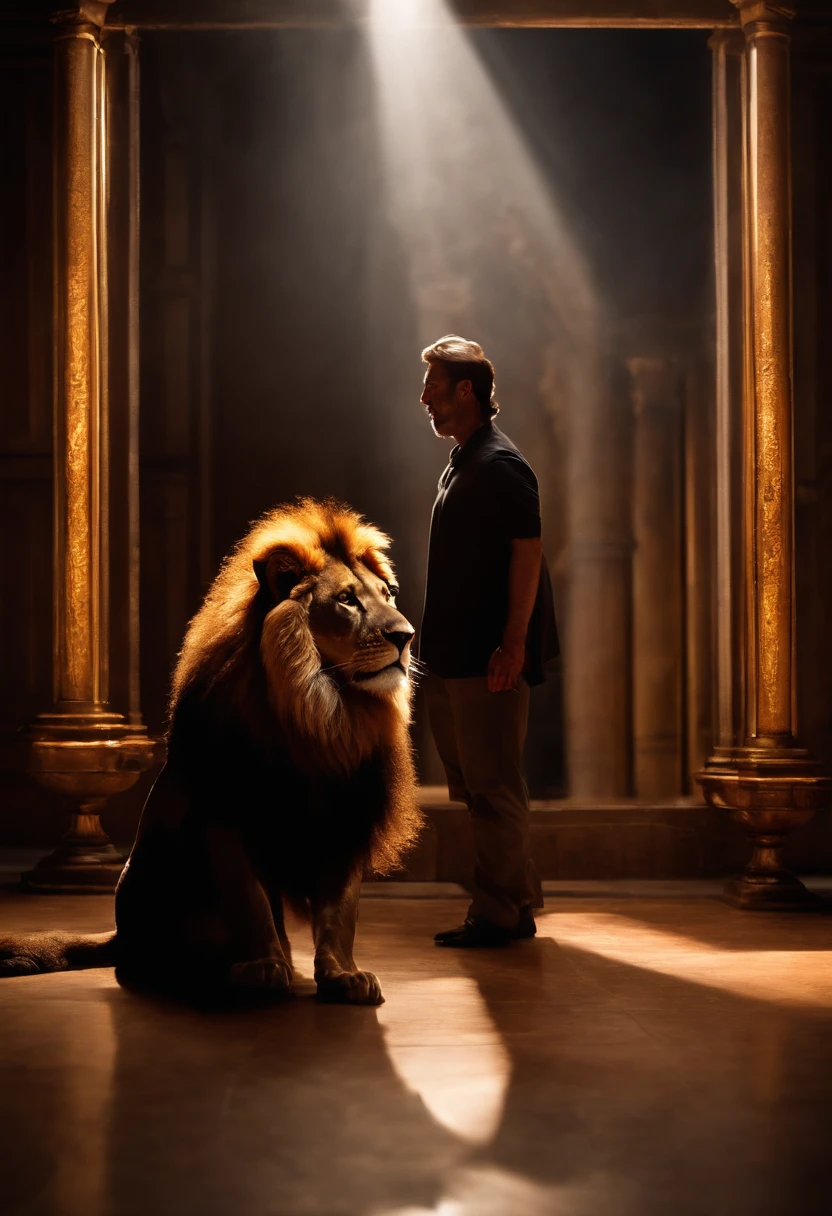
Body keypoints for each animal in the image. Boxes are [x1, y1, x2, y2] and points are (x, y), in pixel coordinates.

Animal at [1, 496, 423, 1006]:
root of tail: (123, 933)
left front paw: (344, 975)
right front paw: (264, 968)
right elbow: (250, 900)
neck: (323, 713)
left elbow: (340, 911)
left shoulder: (350, 818)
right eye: (346, 599)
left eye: (389, 593)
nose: (406, 636)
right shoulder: (224, 813)